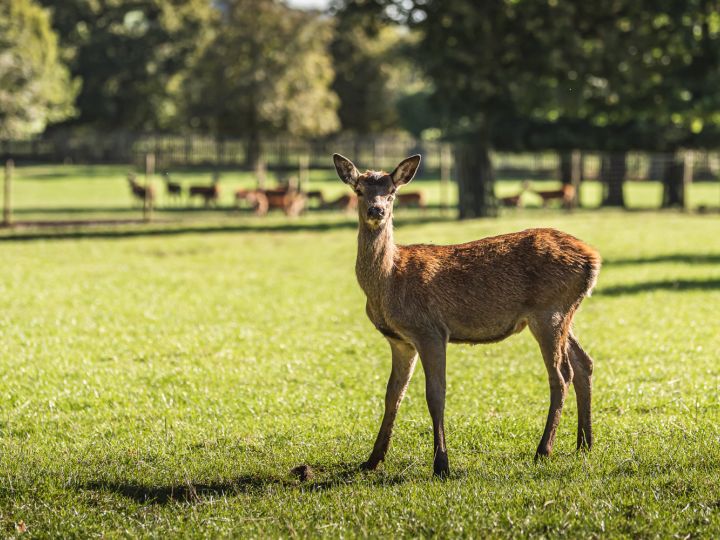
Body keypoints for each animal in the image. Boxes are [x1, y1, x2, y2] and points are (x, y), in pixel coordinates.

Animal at [334, 152, 600, 476]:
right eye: (359, 190)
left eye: (392, 192)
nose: (377, 209)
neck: (387, 283)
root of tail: (594, 259)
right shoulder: (400, 340)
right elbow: (392, 395)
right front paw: (372, 460)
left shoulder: (430, 330)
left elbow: (435, 394)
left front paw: (441, 464)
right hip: (563, 312)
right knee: (584, 363)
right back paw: (584, 444)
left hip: (549, 311)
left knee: (561, 374)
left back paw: (544, 449)